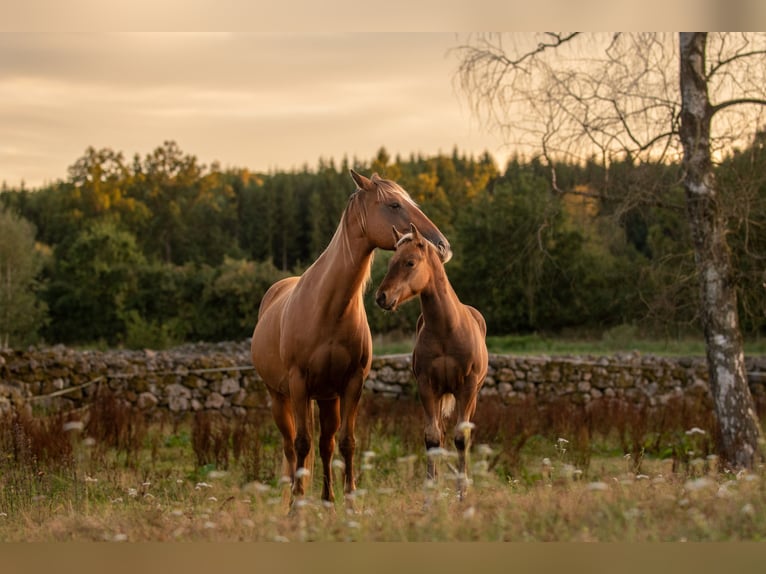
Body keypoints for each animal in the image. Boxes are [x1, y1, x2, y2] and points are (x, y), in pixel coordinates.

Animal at [251, 170, 451, 505]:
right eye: (394, 204)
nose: (441, 246)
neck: (329, 307)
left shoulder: (352, 384)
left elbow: (346, 442)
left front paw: (350, 502)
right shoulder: (298, 384)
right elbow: (302, 443)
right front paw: (297, 506)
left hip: (327, 398)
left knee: (326, 444)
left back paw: (327, 500)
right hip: (280, 397)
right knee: (291, 447)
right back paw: (290, 497)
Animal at [375, 223, 488, 497]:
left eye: (410, 262)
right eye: (391, 261)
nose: (381, 297)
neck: (447, 328)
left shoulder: (466, 388)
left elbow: (462, 438)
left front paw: (462, 494)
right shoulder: (427, 387)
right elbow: (432, 439)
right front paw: (430, 494)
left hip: (471, 395)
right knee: (440, 434)